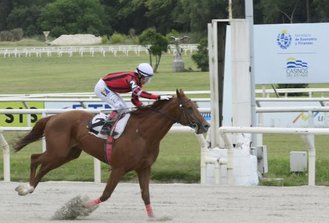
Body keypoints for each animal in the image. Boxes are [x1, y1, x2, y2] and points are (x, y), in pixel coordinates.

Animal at [13, 89, 208, 218]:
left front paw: (153, 217)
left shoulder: (144, 168)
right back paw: (26, 188)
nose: (206, 125)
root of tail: (53, 117)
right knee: (35, 158)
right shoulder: (118, 168)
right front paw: (79, 208)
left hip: (68, 154)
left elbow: (145, 194)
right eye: (188, 107)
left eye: (196, 105)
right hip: (58, 151)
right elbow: (106, 194)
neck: (143, 133)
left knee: (43, 166)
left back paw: (28, 188)